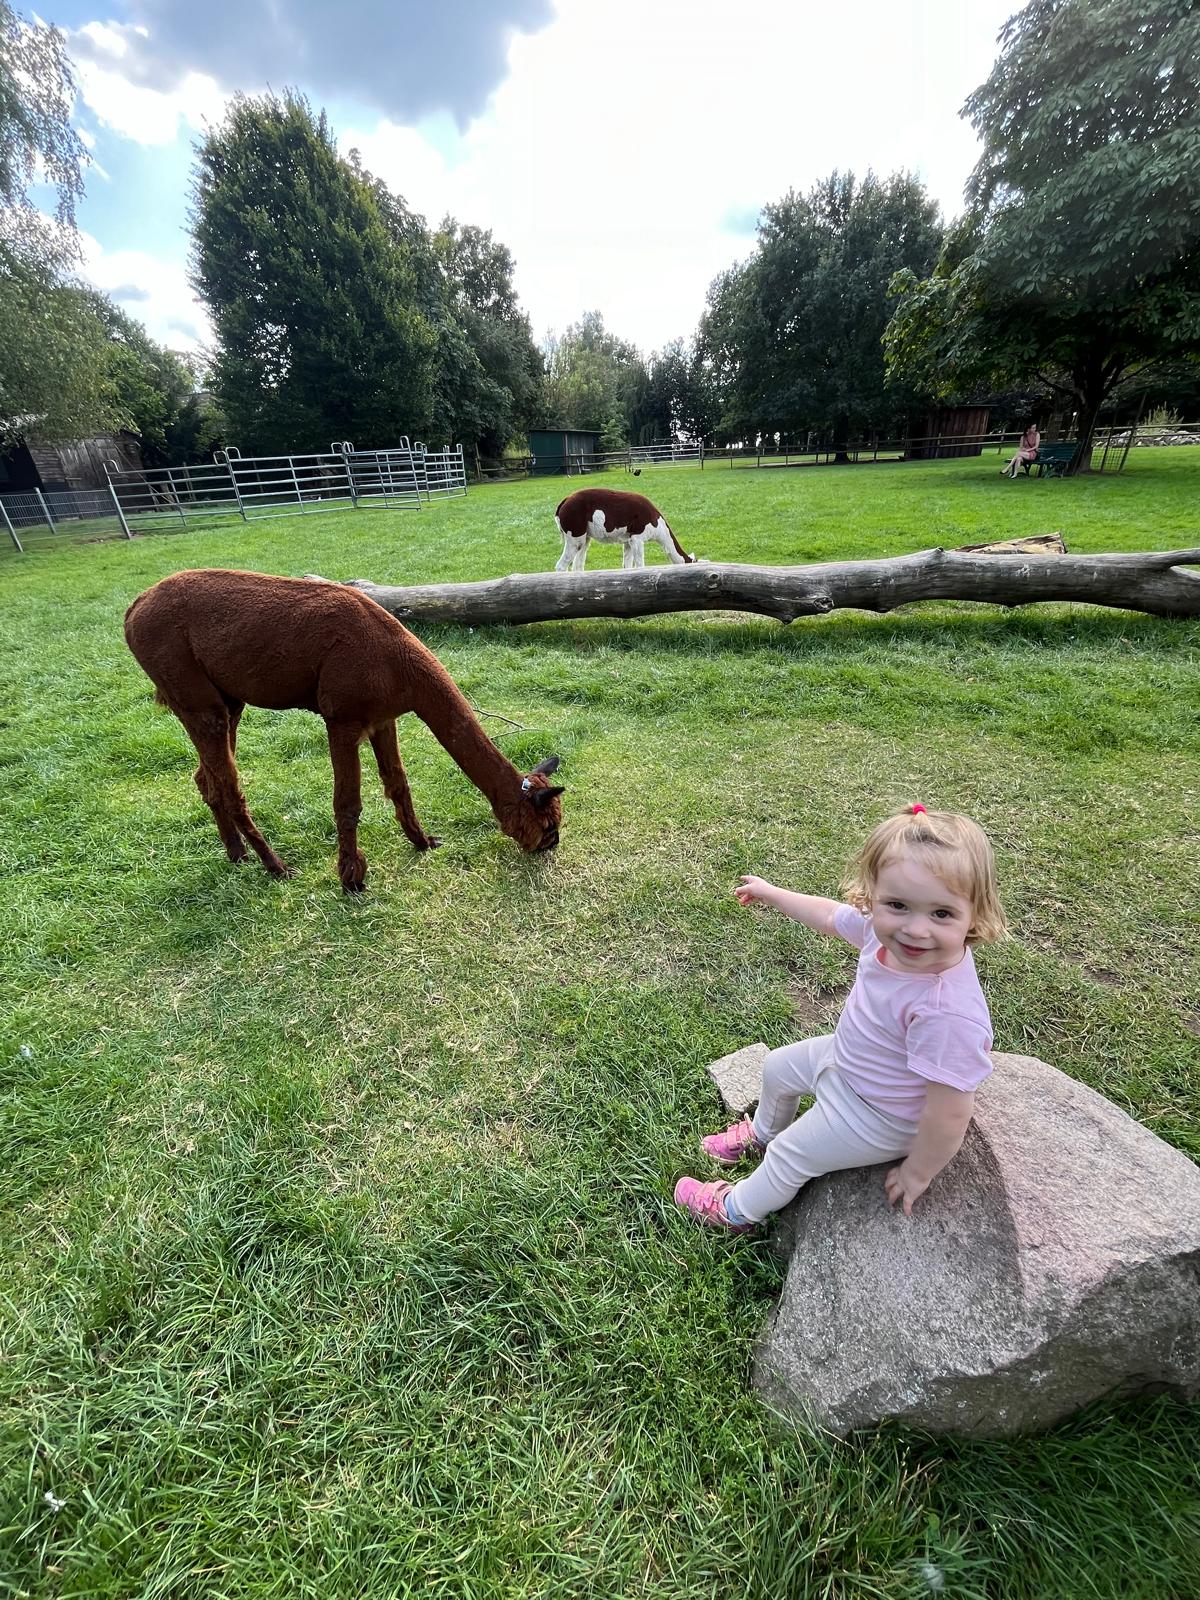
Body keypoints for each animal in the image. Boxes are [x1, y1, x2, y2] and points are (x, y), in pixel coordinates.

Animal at [123, 569, 564, 890]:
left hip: (224, 699)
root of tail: (134, 608)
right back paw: (275, 866)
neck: (397, 662)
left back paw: (236, 854)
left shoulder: (384, 717)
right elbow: (348, 803)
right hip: (190, 686)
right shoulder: (343, 719)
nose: (550, 847)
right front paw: (352, 878)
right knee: (230, 788)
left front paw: (423, 842)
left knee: (206, 779)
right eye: (546, 825)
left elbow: (398, 784)